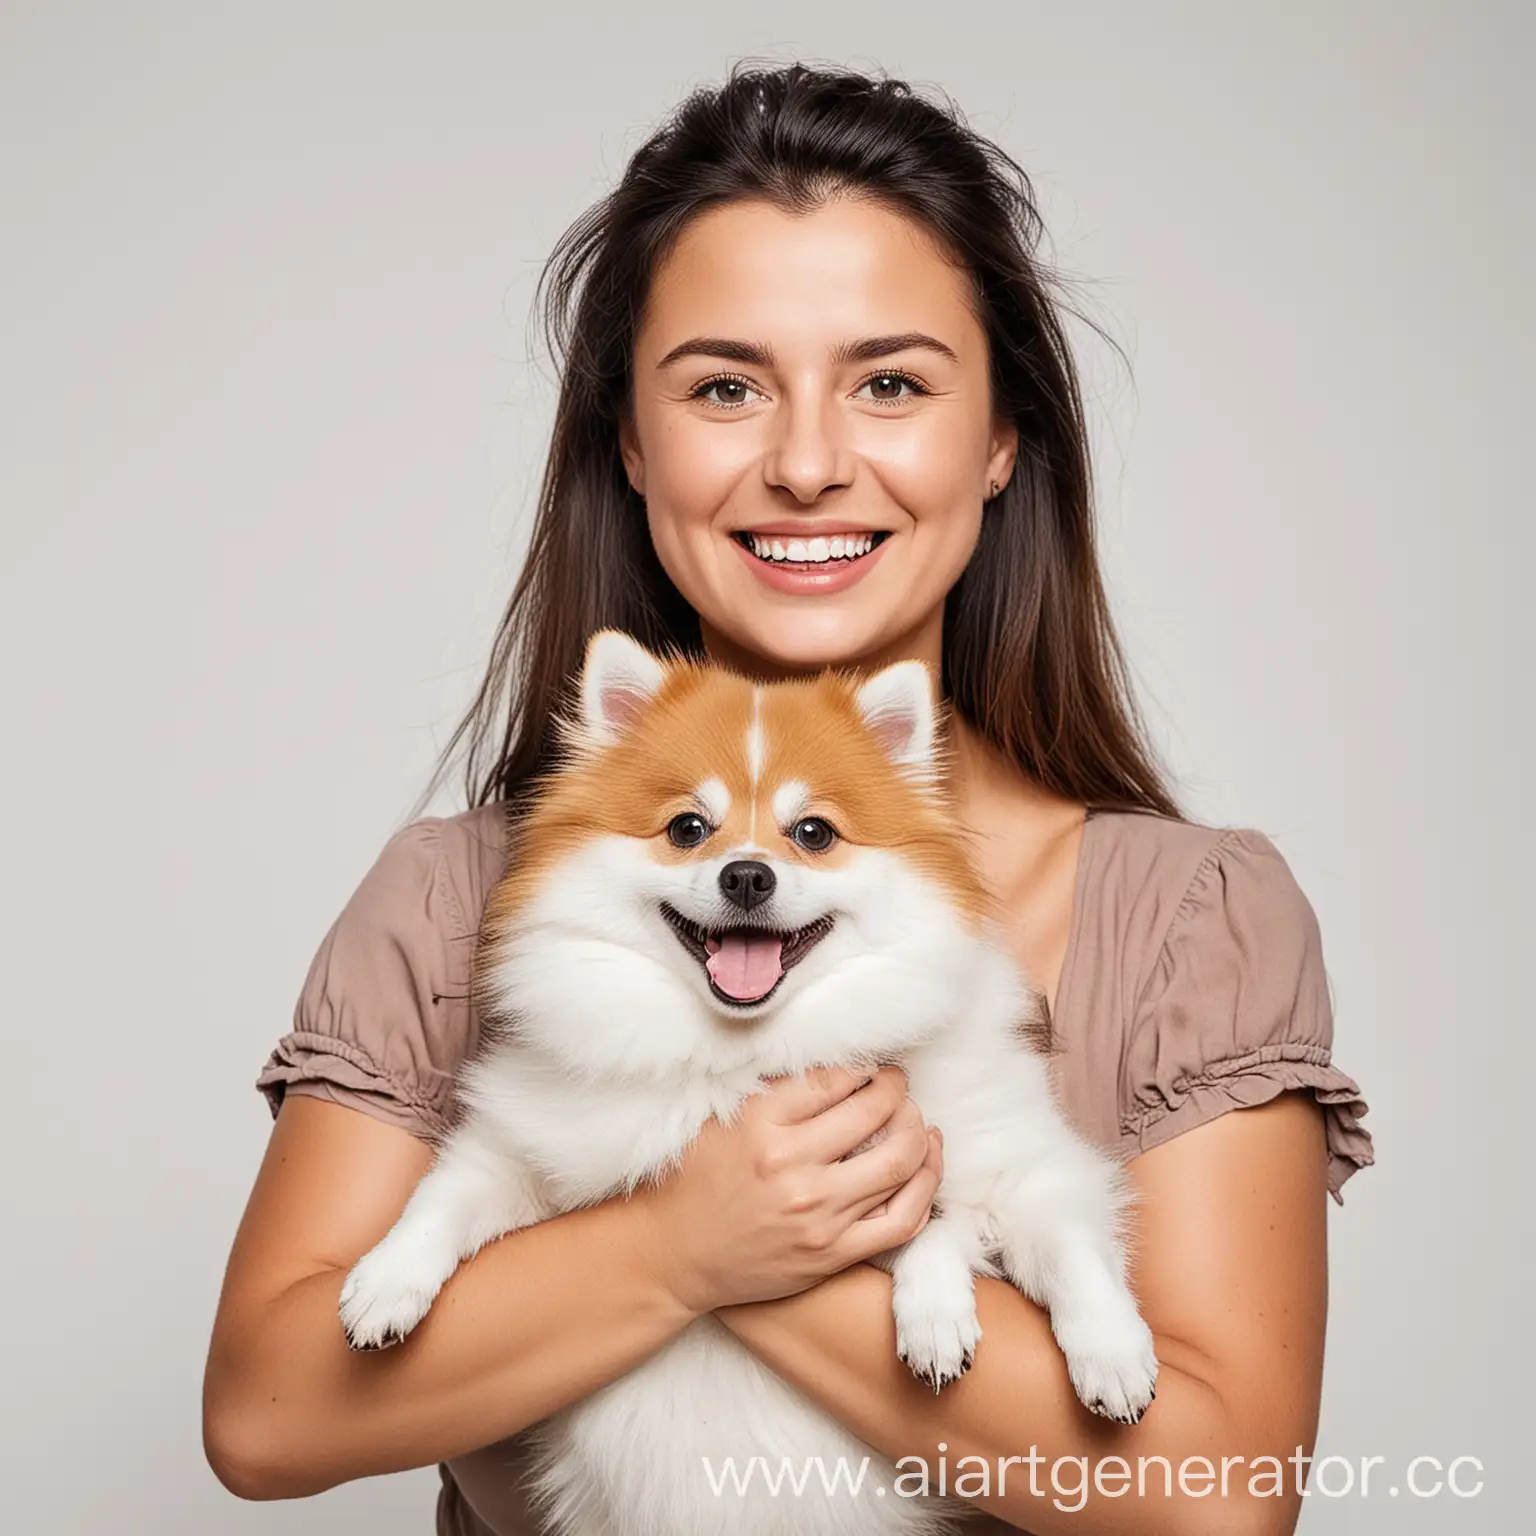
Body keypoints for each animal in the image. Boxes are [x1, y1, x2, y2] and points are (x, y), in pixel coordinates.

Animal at [342, 626, 1155, 1536]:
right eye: (688, 827)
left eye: (814, 834)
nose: (747, 874)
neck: (745, 1056)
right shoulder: (522, 1150)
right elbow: (442, 1200)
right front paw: (385, 1283)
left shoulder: (1023, 1164)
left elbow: (1048, 1245)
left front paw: (1097, 1353)